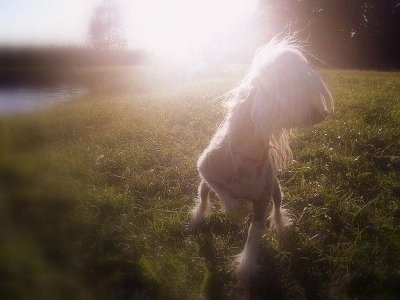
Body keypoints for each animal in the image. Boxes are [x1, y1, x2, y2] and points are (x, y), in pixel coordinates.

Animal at [191, 37, 334, 282]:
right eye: (292, 92)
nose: (322, 114)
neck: (249, 156)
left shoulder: (261, 202)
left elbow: (254, 235)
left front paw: (246, 268)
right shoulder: (205, 168)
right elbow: (226, 196)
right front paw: (237, 209)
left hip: (276, 190)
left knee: (277, 207)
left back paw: (281, 225)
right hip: (204, 185)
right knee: (203, 197)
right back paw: (199, 217)